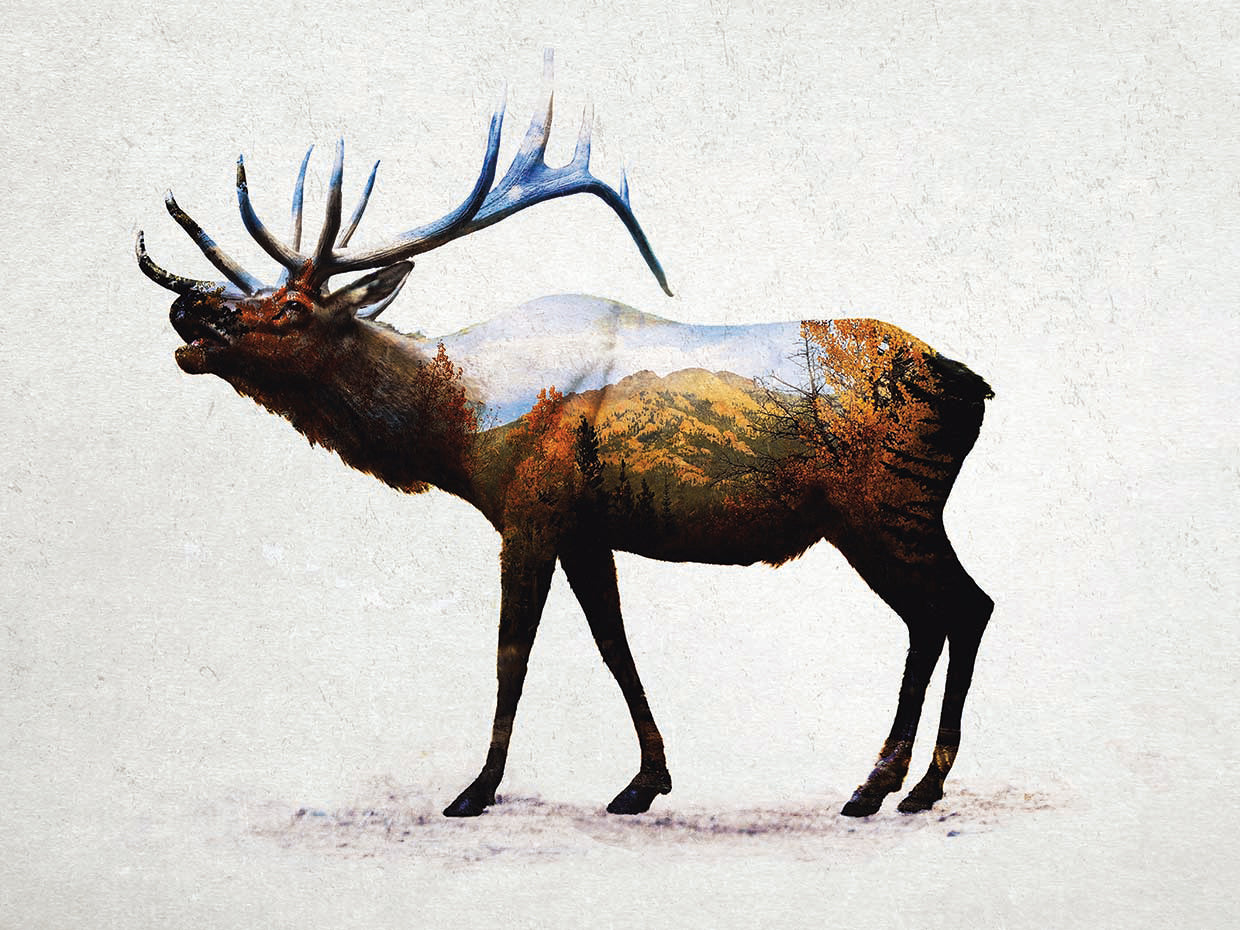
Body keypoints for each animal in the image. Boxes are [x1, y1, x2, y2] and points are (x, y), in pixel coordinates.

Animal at [137, 53, 994, 820]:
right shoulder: (587, 529)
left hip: (885, 506)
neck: (456, 424)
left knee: (957, 608)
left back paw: (891, 785)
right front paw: (645, 782)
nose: (188, 311)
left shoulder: (531, 510)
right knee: (950, 612)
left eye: (290, 308)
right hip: (893, 514)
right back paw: (904, 785)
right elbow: (615, 645)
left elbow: (511, 654)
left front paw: (477, 789)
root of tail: (972, 386)